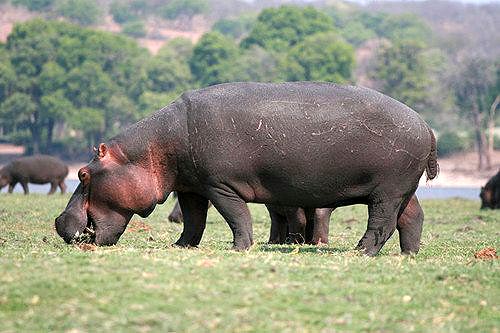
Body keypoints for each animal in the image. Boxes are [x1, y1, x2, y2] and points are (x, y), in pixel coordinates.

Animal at [55, 82, 438, 254]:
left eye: (83, 174)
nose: (58, 222)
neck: (153, 148)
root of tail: (426, 126)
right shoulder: (191, 187)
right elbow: (194, 221)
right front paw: (181, 247)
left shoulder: (220, 185)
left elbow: (236, 217)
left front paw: (239, 248)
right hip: (403, 189)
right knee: (412, 217)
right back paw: (409, 254)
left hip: (386, 191)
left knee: (382, 222)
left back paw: (361, 251)